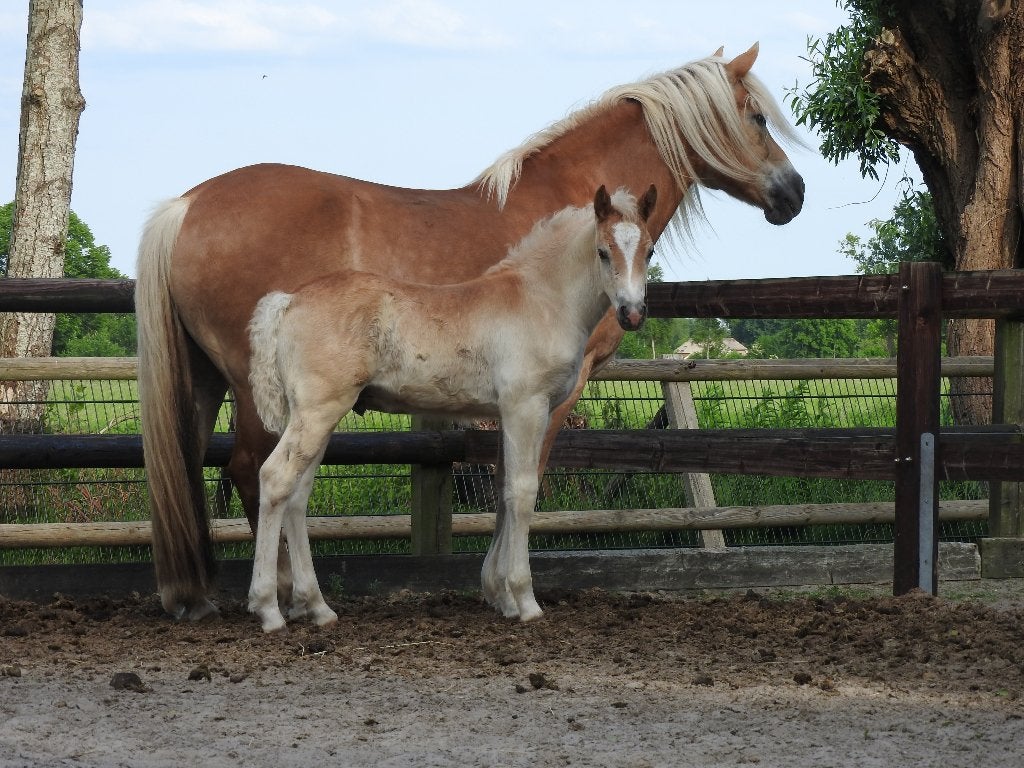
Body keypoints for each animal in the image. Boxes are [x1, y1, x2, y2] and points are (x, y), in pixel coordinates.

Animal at [243, 185, 656, 631]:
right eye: (602, 251)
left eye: (649, 250)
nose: (632, 313)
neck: (542, 299)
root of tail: (288, 301)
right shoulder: (527, 406)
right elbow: (523, 491)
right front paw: (525, 600)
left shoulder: (508, 413)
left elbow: (503, 490)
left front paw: (502, 598)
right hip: (318, 411)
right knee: (275, 479)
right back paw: (268, 609)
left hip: (314, 415)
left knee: (297, 495)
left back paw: (318, 607)